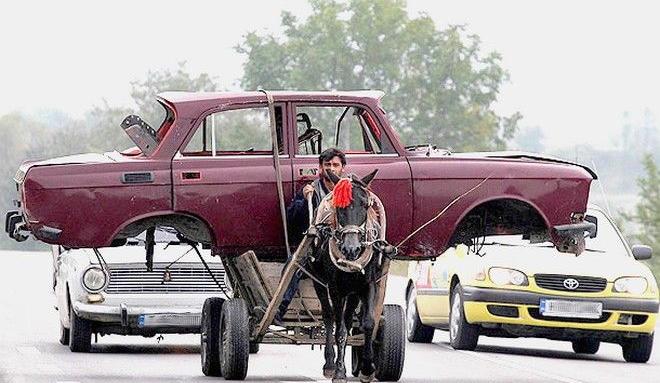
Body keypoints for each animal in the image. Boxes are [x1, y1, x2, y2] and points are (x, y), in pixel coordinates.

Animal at [308, 170, 394, 383]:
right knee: (330, 316)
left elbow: (368, 323)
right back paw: (330, 364)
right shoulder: (335, 289)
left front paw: (368, 368)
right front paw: (339, 371)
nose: (351, 248)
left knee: (347, 320)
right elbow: (338, 329)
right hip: (319, 282)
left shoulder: (367, 285)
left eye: (365, 204)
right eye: (339, 207)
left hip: (353, 292)